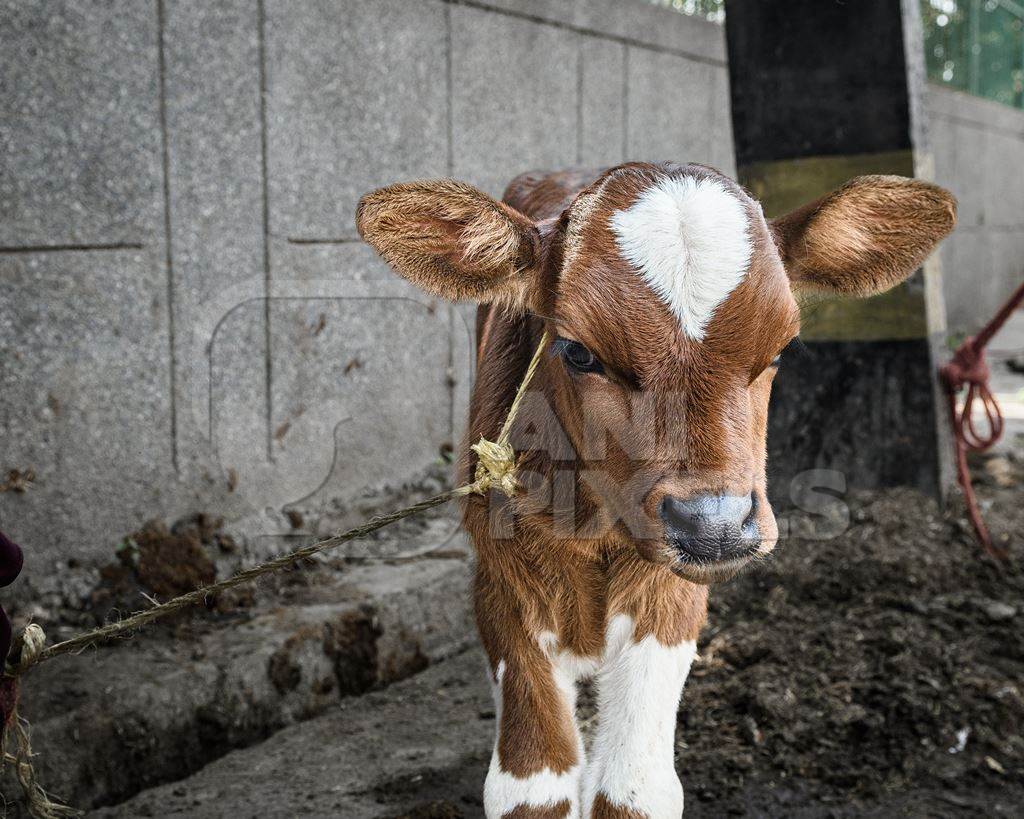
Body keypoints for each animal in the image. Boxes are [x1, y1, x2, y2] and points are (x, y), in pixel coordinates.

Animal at [356, 162, 954, 814]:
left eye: (781, 349)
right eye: (577, 351)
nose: (715, 523)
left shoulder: (673, 595)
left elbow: (633, 785)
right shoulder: (502, 579)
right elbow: (531, 786)